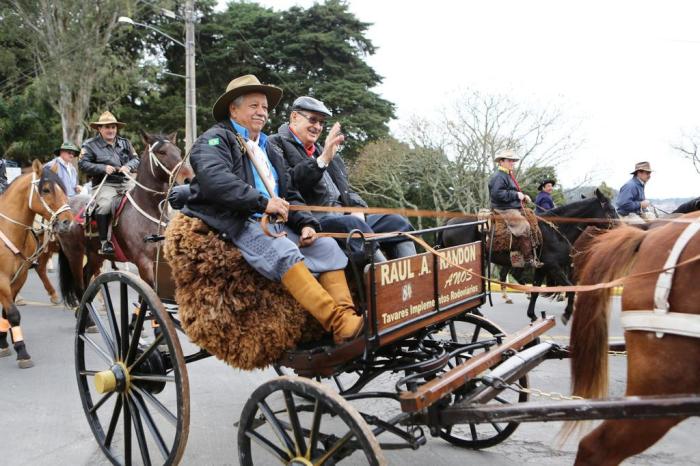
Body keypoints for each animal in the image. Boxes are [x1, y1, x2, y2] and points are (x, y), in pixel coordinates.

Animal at [0, 160, 73, 368]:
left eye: (62, 188)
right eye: (46, 189)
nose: (68, 222)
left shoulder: (19, 277)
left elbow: (6, 313)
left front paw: (5, 343)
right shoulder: (2, 279)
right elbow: (13, 314)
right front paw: (22, 351)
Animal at [57, 131, 193, 306]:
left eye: (178, 150)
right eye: (161, 152)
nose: (188, 178)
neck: (147, 209)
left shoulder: (161, 262)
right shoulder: (144, 263)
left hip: (95, 255)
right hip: (74, 254)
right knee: (80, 287)